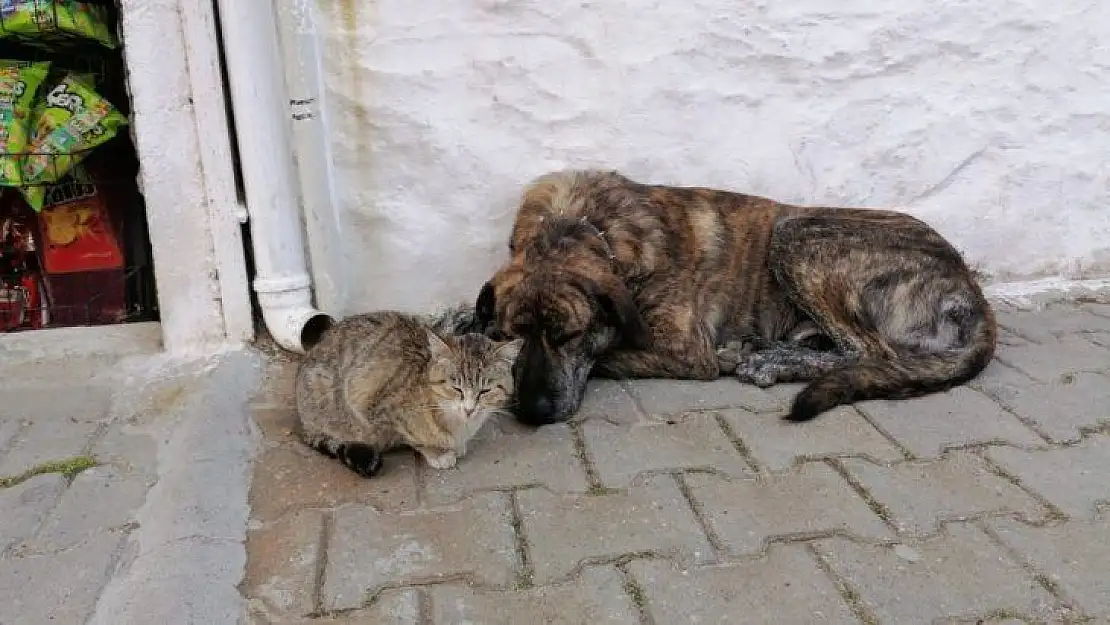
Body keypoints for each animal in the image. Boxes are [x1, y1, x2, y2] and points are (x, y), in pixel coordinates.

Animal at [475, 169, 999, 426]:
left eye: (570, 335)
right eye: (509, 337)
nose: (533, 412)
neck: (583, 224)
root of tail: (969, 286)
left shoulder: (684, 350)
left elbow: (610, 353)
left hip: (799, 231)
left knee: (869, 352)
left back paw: (770, 361)